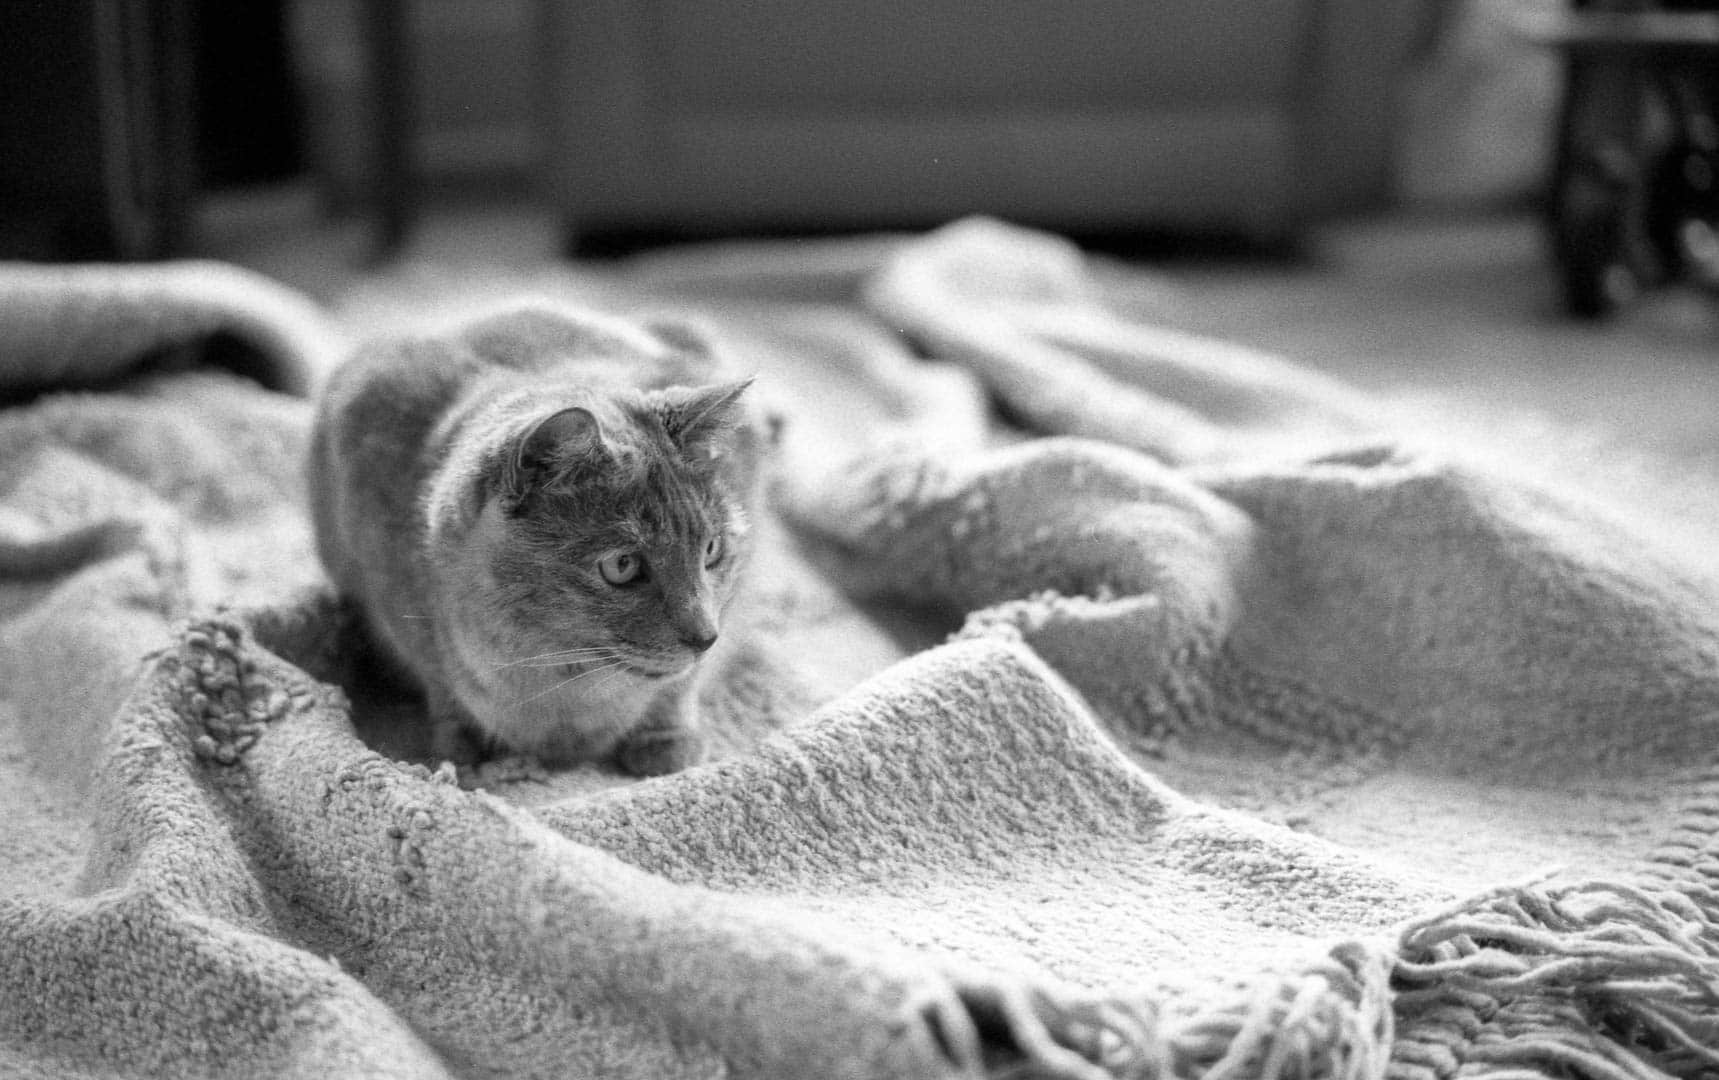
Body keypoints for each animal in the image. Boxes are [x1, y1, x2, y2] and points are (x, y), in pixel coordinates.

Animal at [309, 304, 766, 777]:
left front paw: (667, 745)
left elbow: (679, 687)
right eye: (621, 565)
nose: (705, 637)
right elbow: (439, 679)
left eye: (711, 550)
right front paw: (457, 754)